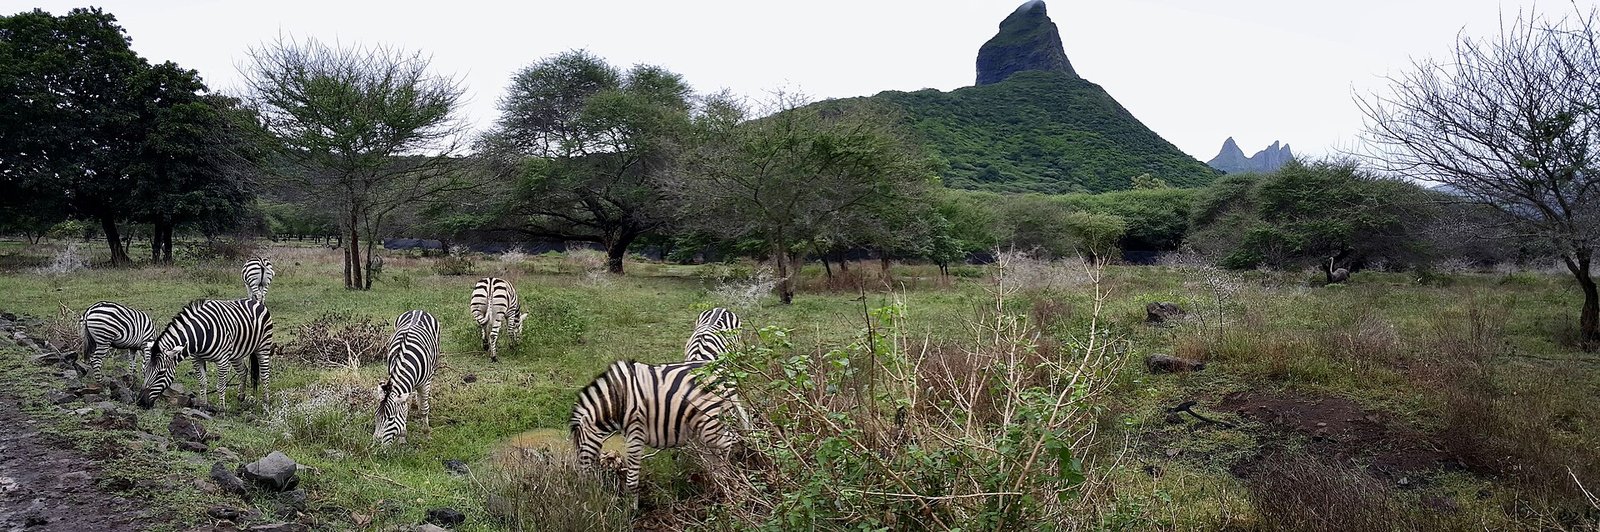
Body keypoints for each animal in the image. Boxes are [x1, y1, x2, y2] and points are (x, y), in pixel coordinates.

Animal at [137, 299, 273, 412]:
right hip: (236, 353)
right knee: (243, 371)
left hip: (263, 347)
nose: (140, 402)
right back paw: (241, 396)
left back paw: (266, 405)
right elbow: (202, 382)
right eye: (144, 371)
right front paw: (202, 406)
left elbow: (221, 386)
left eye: (161, 373)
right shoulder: (197, 359)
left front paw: (222, 410)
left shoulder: (222, 361)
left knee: (265, 376)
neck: (200, 335)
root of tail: (255, 301)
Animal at [374, 310, 441, 445]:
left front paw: (426, 433)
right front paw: (402, 438)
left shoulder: (425, 383)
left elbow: (424, 409)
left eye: (391, 419)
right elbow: (404, 410)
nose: (375, 445)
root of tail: (418, 310)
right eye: (376, 417)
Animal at [570, 359, 738, 502]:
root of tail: (725, 371)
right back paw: (717, 484)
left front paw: (632, 511)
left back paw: (727, 477)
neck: (619, 398)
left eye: (580, 447)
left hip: (712, 419)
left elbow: (632, 479)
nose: (584, 485)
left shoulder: (635, 431)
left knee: (730, 442)